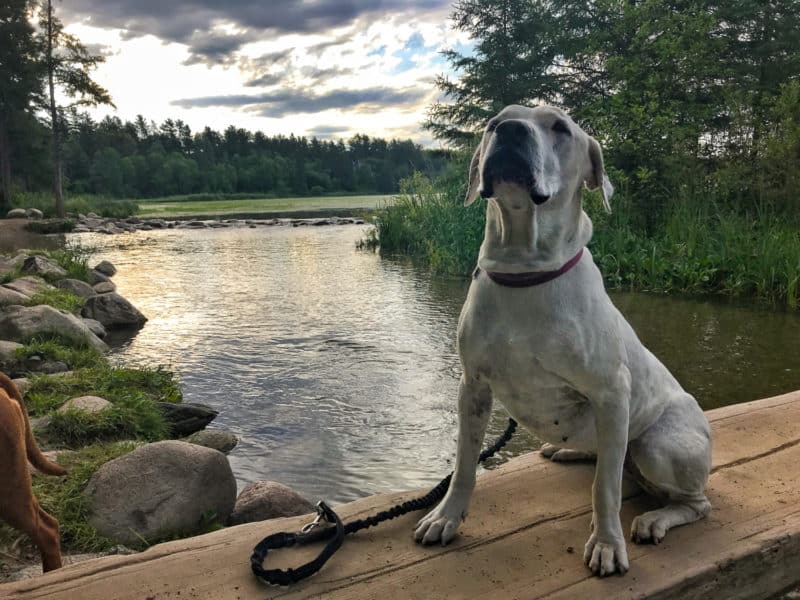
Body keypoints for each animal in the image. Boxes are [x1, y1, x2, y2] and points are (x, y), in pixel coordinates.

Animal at [416, 106, 708, 576]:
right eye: (494, 122)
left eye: (559, 127)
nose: (509, 130)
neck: (525, 270)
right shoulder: (473, 387)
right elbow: (464, 464)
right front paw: (445, 518)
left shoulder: (611, 392)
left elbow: (604, 489)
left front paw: (607, 544)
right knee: (609, 458)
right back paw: (570, 453)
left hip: (659, 445)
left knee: (692, 501)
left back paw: (654, 519)